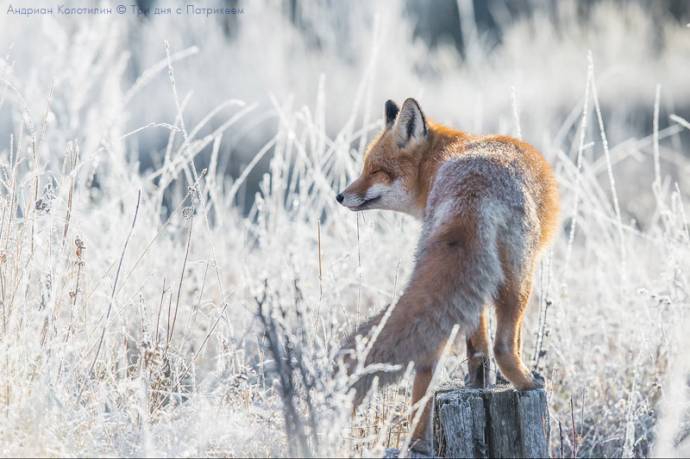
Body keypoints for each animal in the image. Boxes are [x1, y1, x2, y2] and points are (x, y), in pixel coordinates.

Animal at [334, 98, 560, 452]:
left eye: (375, 171)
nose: (339, 196)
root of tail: (471, 191)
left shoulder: (472, 286)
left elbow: (476, 347)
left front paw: (477, 384)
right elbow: (506, 341)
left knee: (427, 364)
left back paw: (417, 443)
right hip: (520, 277)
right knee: (504, 346)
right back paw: (527, 383)